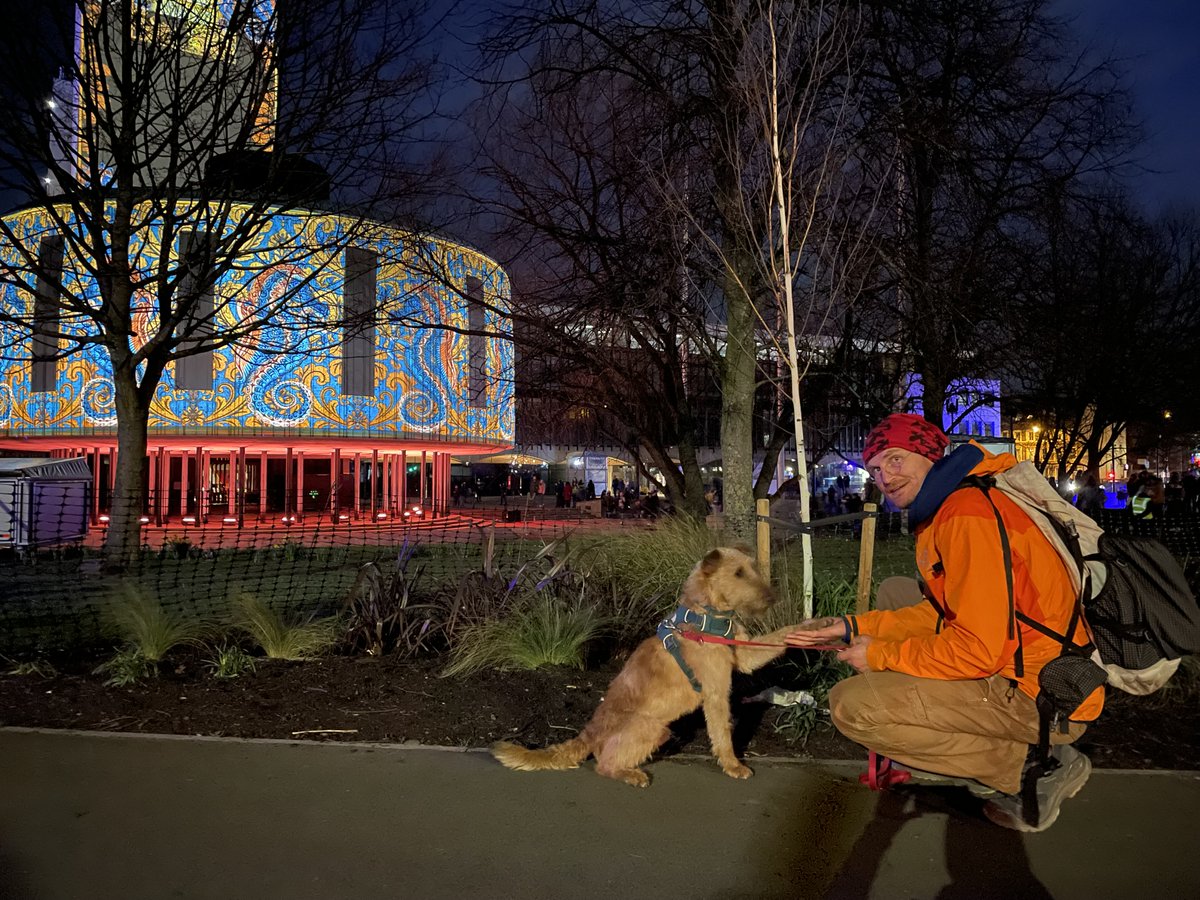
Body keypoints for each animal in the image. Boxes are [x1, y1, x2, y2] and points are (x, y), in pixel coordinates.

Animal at [492, 547, 792, 787]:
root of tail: (590, 733)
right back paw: (631, 774)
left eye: (752, 568)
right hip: (652, 728)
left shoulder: (745, 655)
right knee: (604, 764)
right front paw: (733, 765)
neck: (707, 618)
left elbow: (778, 638)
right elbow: (722, 735)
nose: (773, 597)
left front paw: (804, 628)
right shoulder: (716, 694)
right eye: (738, 573)